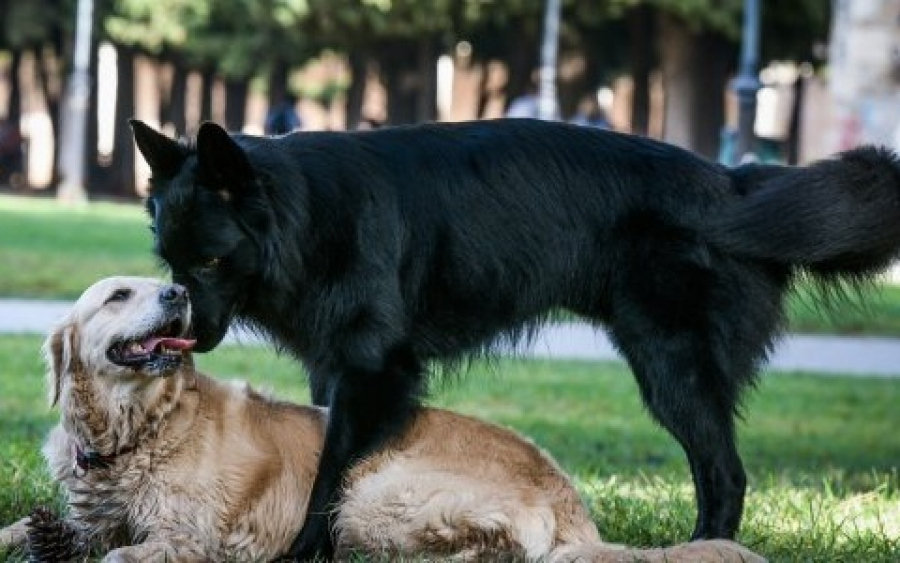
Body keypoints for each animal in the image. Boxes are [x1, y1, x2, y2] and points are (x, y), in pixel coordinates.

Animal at [0, 278, 768, 563]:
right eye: (117, 295)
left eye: (160, 289)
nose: (179, 290)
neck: (138, 429)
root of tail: (567, 495)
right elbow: (25, 527)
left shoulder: (198, 534)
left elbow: (124, 552)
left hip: (363, 494)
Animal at [130, 119, 900, 560]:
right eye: (170, 264)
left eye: (209, 263)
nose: (183, 337)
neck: (309, 214)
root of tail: (731, 184)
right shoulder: (337, 371)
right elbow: (322, 460)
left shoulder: (374, 374)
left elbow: (331, 472)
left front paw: (303, 551)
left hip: (671, 367)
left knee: (726, 475)